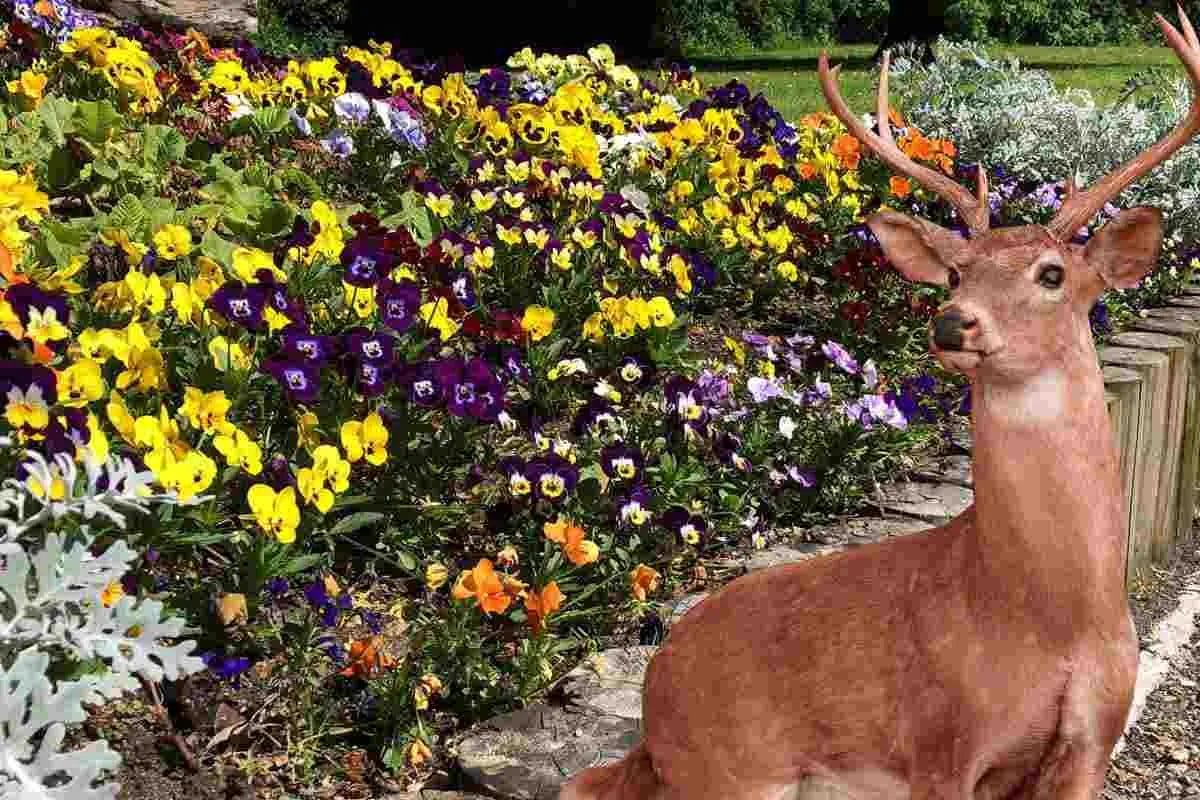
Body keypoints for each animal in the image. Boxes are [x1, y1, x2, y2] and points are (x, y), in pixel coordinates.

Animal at [560, 7, 1200, 800]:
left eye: (1053, 274)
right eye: (955, 272)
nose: (953, 322)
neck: (1049, 621)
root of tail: (651, 700)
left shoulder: (1093, 741)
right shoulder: (939, 744)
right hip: (730, 765)